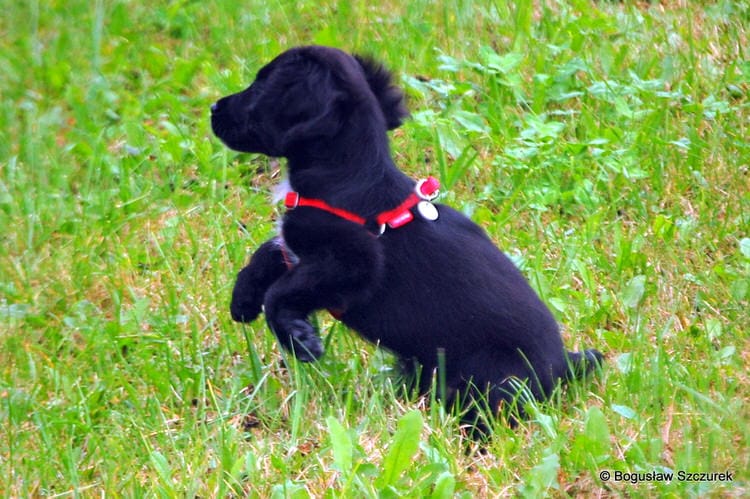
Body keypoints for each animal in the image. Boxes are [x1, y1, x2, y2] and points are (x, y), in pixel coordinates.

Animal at [213, 46, 604, 438]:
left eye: (261, 88)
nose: (213, 107)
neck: (346, 179)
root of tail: (564, 367)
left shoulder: (353, 261)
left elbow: (282, 290)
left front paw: (298, 338)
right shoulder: (304, 250)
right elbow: (269, 254)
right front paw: (243, 299)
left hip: (485, 383)